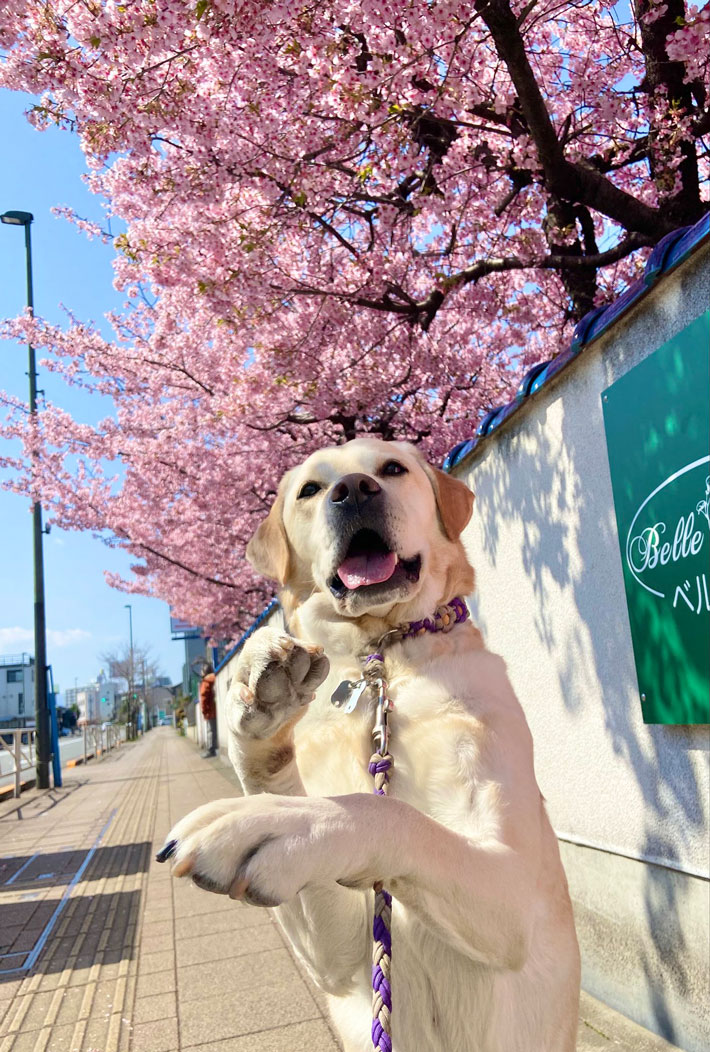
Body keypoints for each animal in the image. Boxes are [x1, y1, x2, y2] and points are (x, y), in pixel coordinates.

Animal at [161, 439, 584, 1047]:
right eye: (310, 490)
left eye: (392, 468)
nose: (353, 490)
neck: (385, 654)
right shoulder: (339, 960)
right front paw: (264, 688)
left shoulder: (516, 891)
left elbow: (387, 812)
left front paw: (271, 823)